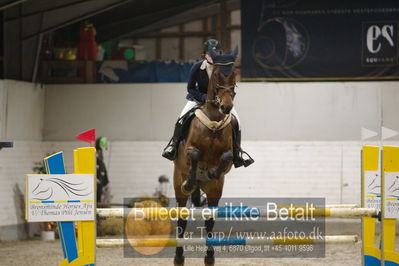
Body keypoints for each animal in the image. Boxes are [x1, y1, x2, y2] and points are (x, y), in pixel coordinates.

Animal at [173, 47, 239, 266]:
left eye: (234, 75)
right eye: (217, 75)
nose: (226, 107)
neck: (214, 119)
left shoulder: (228, 156)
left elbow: (226, 157)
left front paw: (212, 172)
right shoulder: (188, 151)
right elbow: (194, 154)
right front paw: (191, 180)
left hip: (214, 192)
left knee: (210, 220)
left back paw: (209, 257)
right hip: (178, 185)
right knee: (182, 218)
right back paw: (179, 257)